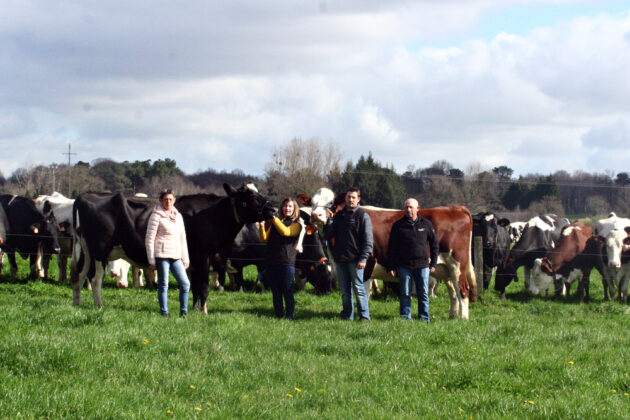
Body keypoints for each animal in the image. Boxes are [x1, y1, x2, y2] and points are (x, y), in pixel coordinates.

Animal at [174, 183, 276, 312]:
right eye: (252, 197)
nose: (274, 209)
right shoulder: (203, 257)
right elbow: (204, 286)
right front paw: (204, 311)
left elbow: (196, 287)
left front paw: (196, 308)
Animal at [298, 189, 476, 320]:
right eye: (312, 203)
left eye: (332, 203)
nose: (316, 215)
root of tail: (455, 208)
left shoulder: (366, 265)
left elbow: (363, 292)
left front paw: (362, 316)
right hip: (445, 269)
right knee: (453, 291)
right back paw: (453, 315)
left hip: (457, 265)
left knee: (463, 289)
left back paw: (463, 318)